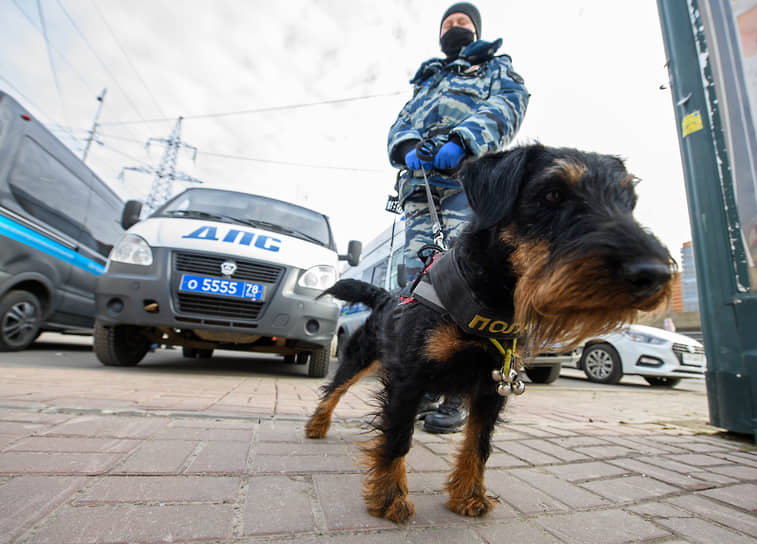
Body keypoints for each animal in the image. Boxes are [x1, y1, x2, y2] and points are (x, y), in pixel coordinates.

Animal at [304, 143, 672, 524]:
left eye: (629, 201)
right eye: (552, 194)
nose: (655, 274)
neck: (489, 301)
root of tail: (384, 297)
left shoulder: (493, 385)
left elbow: (478, 443)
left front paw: (469, 494)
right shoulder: (409, 378)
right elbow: (396, 438)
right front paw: (390, 496)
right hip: (359, 357)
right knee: (334, 389)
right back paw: (317, 425)